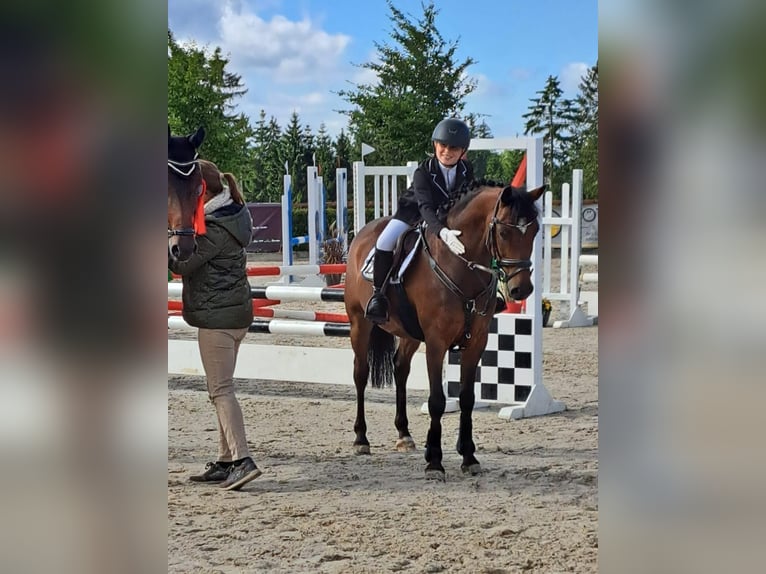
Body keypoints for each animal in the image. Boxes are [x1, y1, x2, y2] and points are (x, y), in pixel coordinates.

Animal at [344, 181, 548, 482]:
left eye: (534, 231)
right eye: (503, 232)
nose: (521, 290)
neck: (460, 266)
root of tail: (363, 233)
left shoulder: (476, 342)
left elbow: (466, 398)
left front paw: (468, 456)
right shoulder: (436, 343)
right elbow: (437, 401)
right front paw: (435, 461)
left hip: (408, 334)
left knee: (400, 368)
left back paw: (404, 434)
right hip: (360, 323)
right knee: (360, 373)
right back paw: (361, 439)